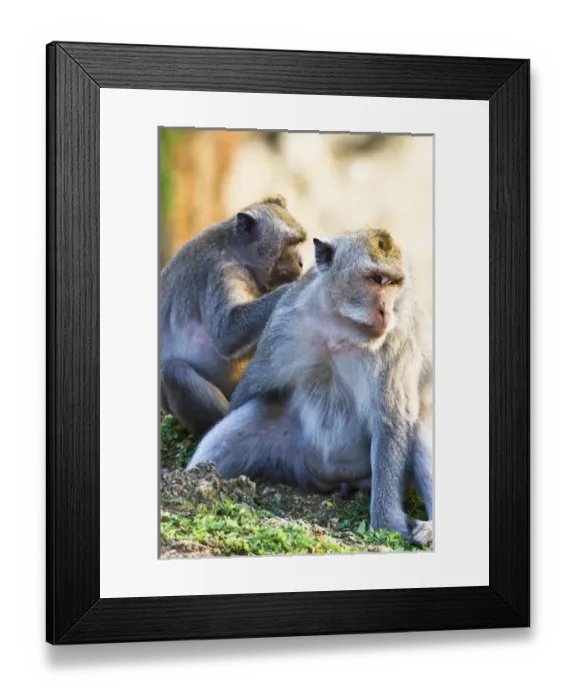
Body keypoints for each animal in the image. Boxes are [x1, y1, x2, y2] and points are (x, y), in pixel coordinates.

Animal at [160, 194, 308, 435]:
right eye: (290, 244)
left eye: (298, 242)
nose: (302, 262)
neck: (236, 253)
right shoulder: (222, 272)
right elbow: (228, 332)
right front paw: (296, 288)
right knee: (174, 373)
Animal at [186, 227, 433, 547]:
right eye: (376, 279)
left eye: (394, 283)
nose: (385, 311)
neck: (339, 329)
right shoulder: (284, 323)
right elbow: (249, 391)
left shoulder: (396, 341)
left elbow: (392, 421)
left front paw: (387, 524)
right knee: (254, 415)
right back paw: (200, 479)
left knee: (419, 426)